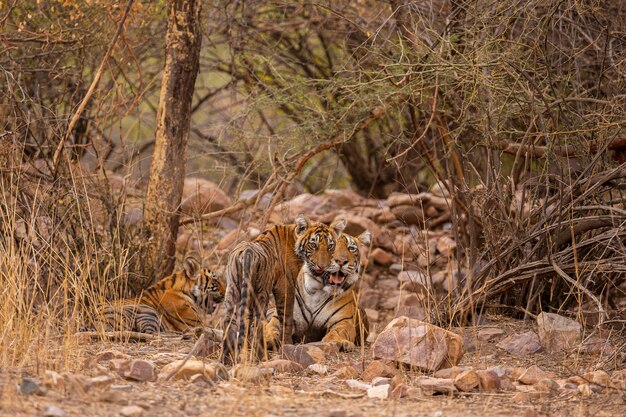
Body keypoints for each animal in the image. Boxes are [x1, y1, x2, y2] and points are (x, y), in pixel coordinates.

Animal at [221, 216, 346, 362]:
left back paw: (225, 359)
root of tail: (247, 251)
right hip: (261, 293)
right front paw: (287, 344)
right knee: (257, 323)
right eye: (313, 245)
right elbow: (286, 317)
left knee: (230, 322)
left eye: (330, 246)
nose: (322, 266)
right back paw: (261, 356)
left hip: (233, 289)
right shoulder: (286, 285)